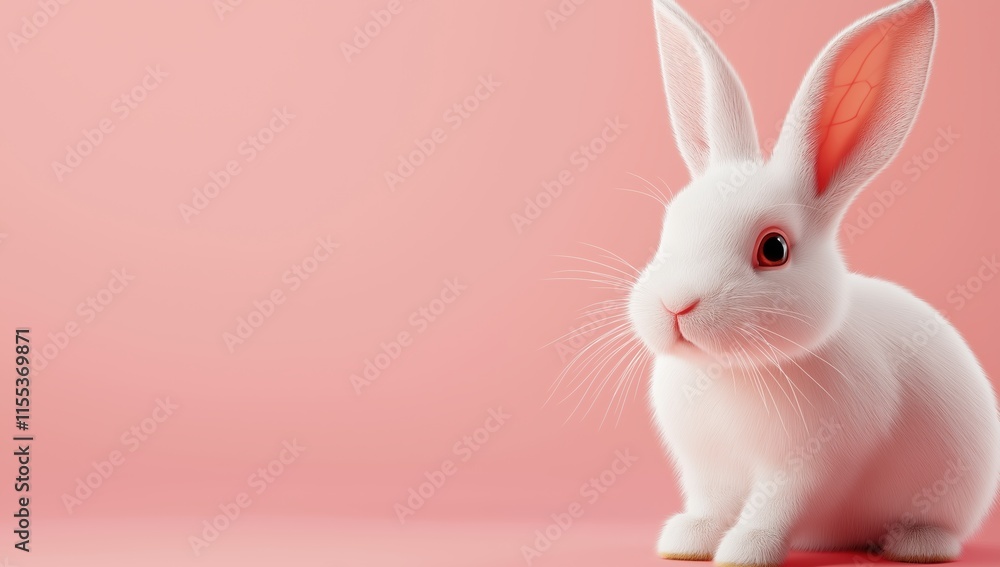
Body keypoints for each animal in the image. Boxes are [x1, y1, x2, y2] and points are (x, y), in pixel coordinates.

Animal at [627, 0, 1000, 565]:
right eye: (670, 225)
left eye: (774, 249)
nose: (676, 305)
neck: (729, 371)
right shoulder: (707, 465)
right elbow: (711, 504)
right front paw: (687, 541)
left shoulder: (808, 466)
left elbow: (772, 508)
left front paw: (744, 550)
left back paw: (913, 544)